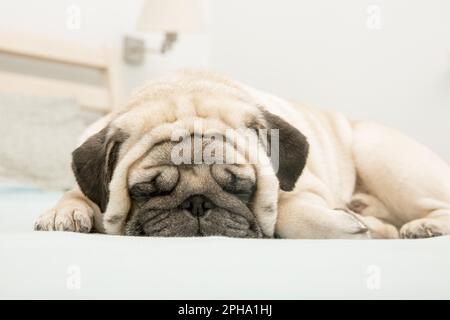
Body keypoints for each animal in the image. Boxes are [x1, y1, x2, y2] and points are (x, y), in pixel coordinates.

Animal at [36, 70, 450, 240]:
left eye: (241, 187)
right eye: (145, 191)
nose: (197, 203)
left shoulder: (306, 190)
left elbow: (286, 209)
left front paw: (342, 225)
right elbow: (77, 192)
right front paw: (65, 211)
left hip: (378, 151)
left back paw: (420, 227)